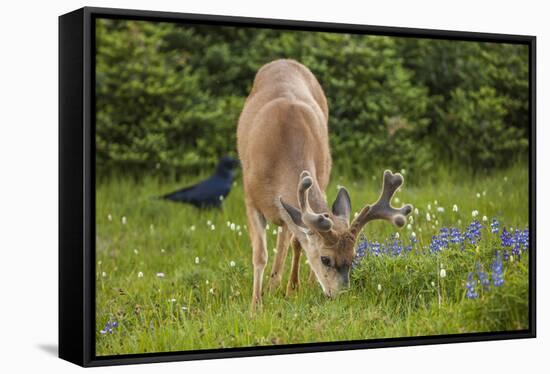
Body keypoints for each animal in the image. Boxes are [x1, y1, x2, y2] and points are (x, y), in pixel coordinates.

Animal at [237, 59, 414, 310]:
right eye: (325, 259)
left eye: (353, 257)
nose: (340, 295)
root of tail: (284, 61)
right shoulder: (250, 199)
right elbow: (260, 254)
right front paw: (255, 306)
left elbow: (297, 242)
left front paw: (294, 290)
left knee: (287, 237)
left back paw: (284, 284)